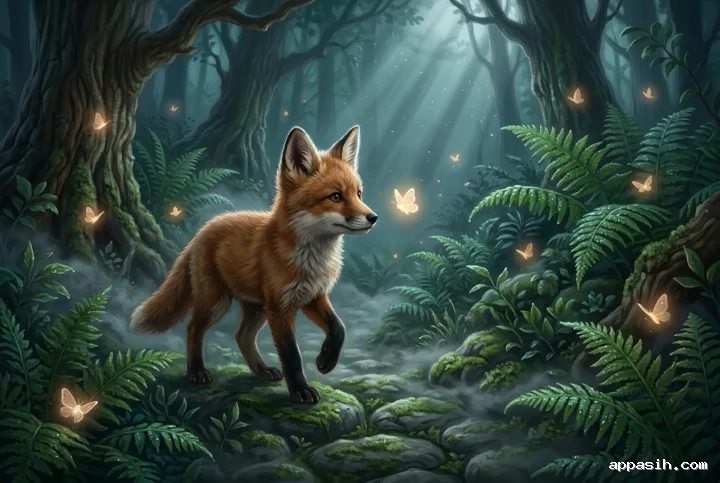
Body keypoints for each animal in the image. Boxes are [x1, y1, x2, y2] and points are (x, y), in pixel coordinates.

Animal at [129, 125, 377, 404]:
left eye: (358, 194)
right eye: (335, 197)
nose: (373, 217)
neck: (310, 260)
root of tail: (202, 230)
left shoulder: (313, 296)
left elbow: (339, 328)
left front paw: (326, 361)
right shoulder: (280, 307)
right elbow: (291, 353)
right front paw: (300, 389)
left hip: (256, 308)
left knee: (242, 336)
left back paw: (261, 370)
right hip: (218, 302)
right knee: (194, 328)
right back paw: (196, 371)